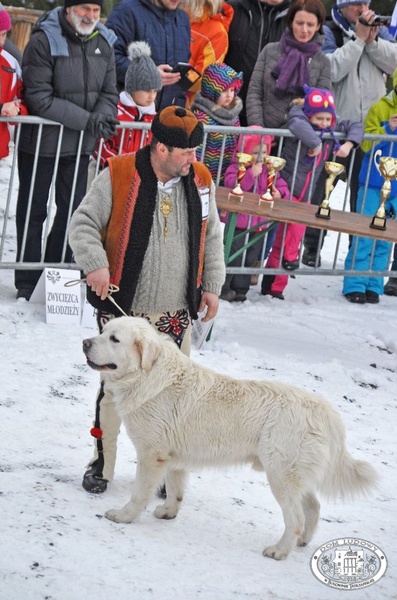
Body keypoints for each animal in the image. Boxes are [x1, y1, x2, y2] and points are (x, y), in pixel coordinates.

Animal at [83, 316, 374, 560]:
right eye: (104, 331)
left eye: (114, 339)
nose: (85, 343)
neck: (147, 375)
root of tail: (326, 412)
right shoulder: (174, 457)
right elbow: (175, 490)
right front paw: (168, 512)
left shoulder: (151, 455)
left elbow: (139, 493)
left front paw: (124, 516)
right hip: (294, 475)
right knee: (313, 507)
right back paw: (302, 541)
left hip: (280, 475)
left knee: (296, 518)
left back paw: (280, 550)